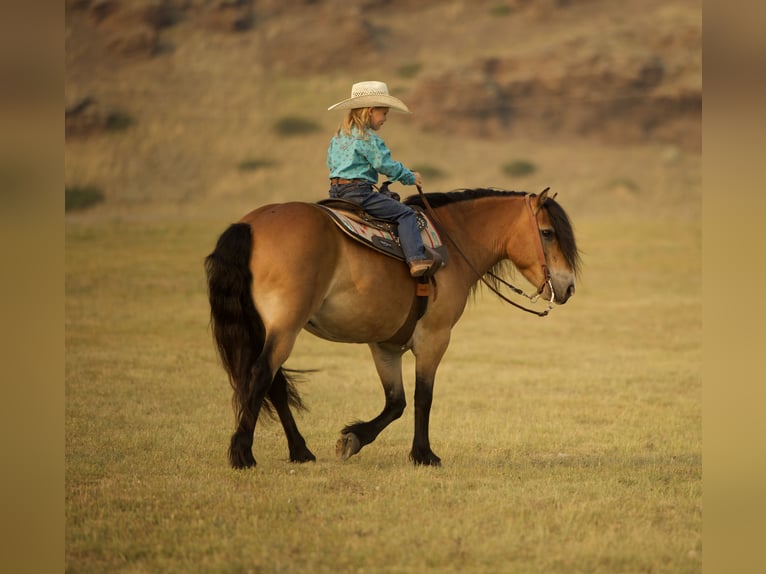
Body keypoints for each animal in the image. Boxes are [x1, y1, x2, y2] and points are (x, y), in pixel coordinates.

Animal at [205, 187, 581, 468]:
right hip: (285, 328)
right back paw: (243, 453)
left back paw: (300, 451)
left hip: (265, 329)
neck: (452, 242)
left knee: (274, 384)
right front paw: (424, 454)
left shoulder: (385, 344)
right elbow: (423, 396)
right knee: (260, 376)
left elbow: (395, 402)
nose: (568, 287)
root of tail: (250, 226)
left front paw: (352, 438)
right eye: (547, 233)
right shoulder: (434, 338)